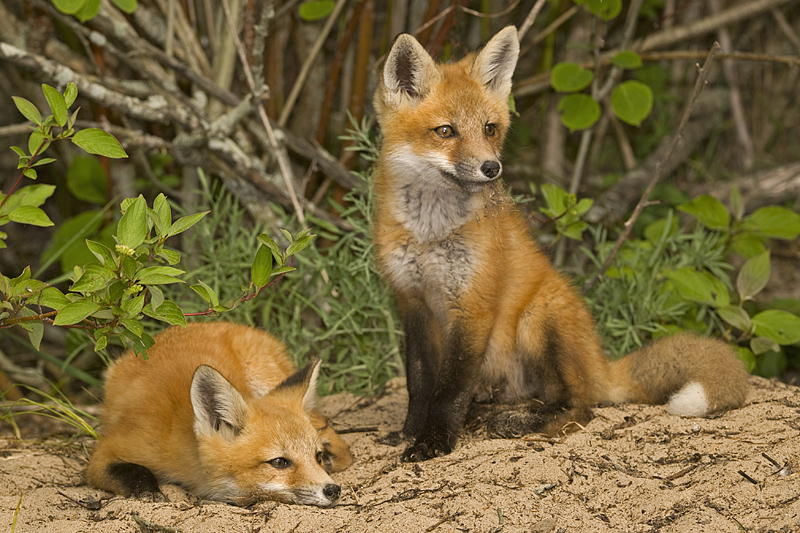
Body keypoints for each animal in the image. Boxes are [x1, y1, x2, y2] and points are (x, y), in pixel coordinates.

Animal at [86, 322, 353, 506]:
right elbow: (134, 471)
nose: (333, 490)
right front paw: (147, 490)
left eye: (317, 456)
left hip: (265, 378)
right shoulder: (105, 454)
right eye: (279, 462)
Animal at [371, 26, 750, 462]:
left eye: (489, 129)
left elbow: (449, 390)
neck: (429, 233)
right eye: (445, 131)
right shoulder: (412, 301)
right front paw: (411, 431)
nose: (491, 168)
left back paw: (522, 423)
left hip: (539, 320)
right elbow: (420, 383)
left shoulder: (473, 305)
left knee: (580, 406)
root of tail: (601, 362)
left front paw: (435, 440)